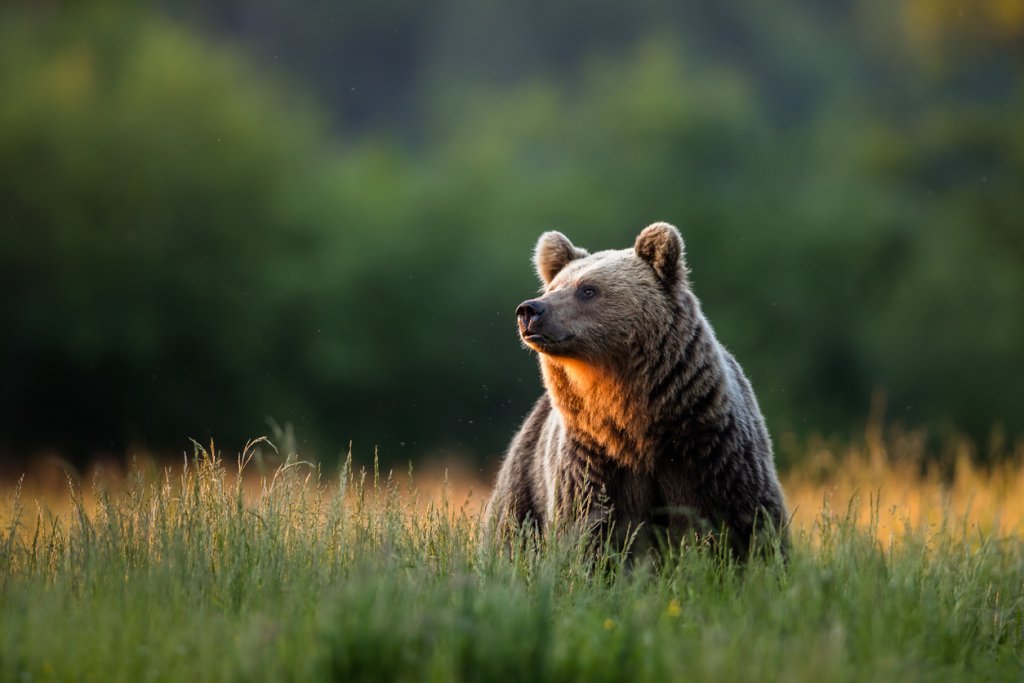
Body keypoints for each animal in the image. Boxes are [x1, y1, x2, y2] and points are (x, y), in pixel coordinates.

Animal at [483, 222, 786, 557]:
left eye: (587, 289)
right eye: (552, 288)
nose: (530, 310)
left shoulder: (710, 450)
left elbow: (748, 525)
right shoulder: (593, 462)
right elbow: (589, 533)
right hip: (524, 482)